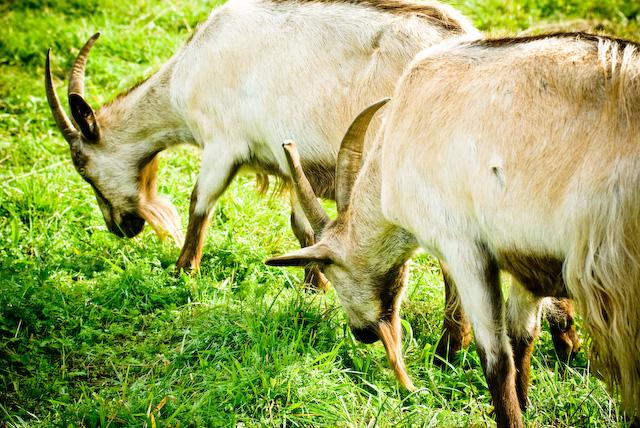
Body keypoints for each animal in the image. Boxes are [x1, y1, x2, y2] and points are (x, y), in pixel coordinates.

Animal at [268, 34, 640, 428]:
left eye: (332, 273)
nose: (362, 334)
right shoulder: (527, 260)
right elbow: (522, 337)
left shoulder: (465, 249)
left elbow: (496, 361)